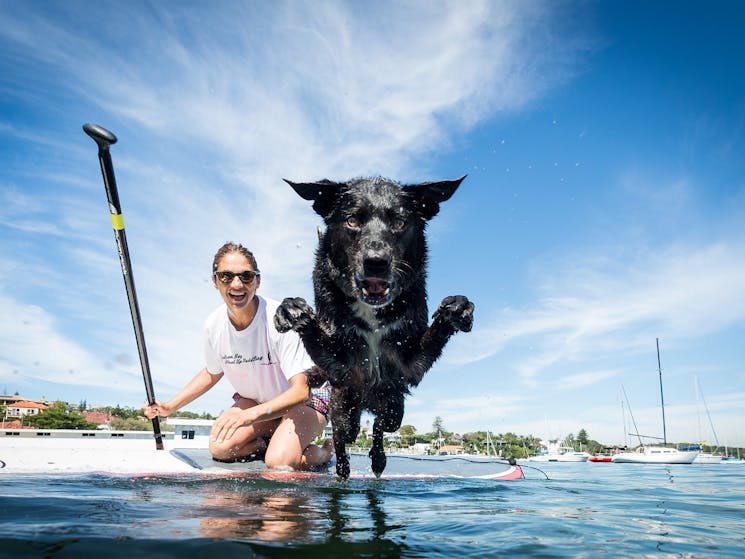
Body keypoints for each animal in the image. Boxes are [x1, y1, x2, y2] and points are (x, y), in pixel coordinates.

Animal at [276, 175, 474, 476]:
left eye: (400, 223)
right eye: (352, 221)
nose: (376, 263)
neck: (372, 312)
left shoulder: (409, 365)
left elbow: (433, 337)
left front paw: (455, 310)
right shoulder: (341, 367)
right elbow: (317, 338)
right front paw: (293, 311)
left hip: (393, 406)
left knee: (381, 425)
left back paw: (378, 459)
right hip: (344, 406)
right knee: (342, 435)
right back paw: (343, 468)